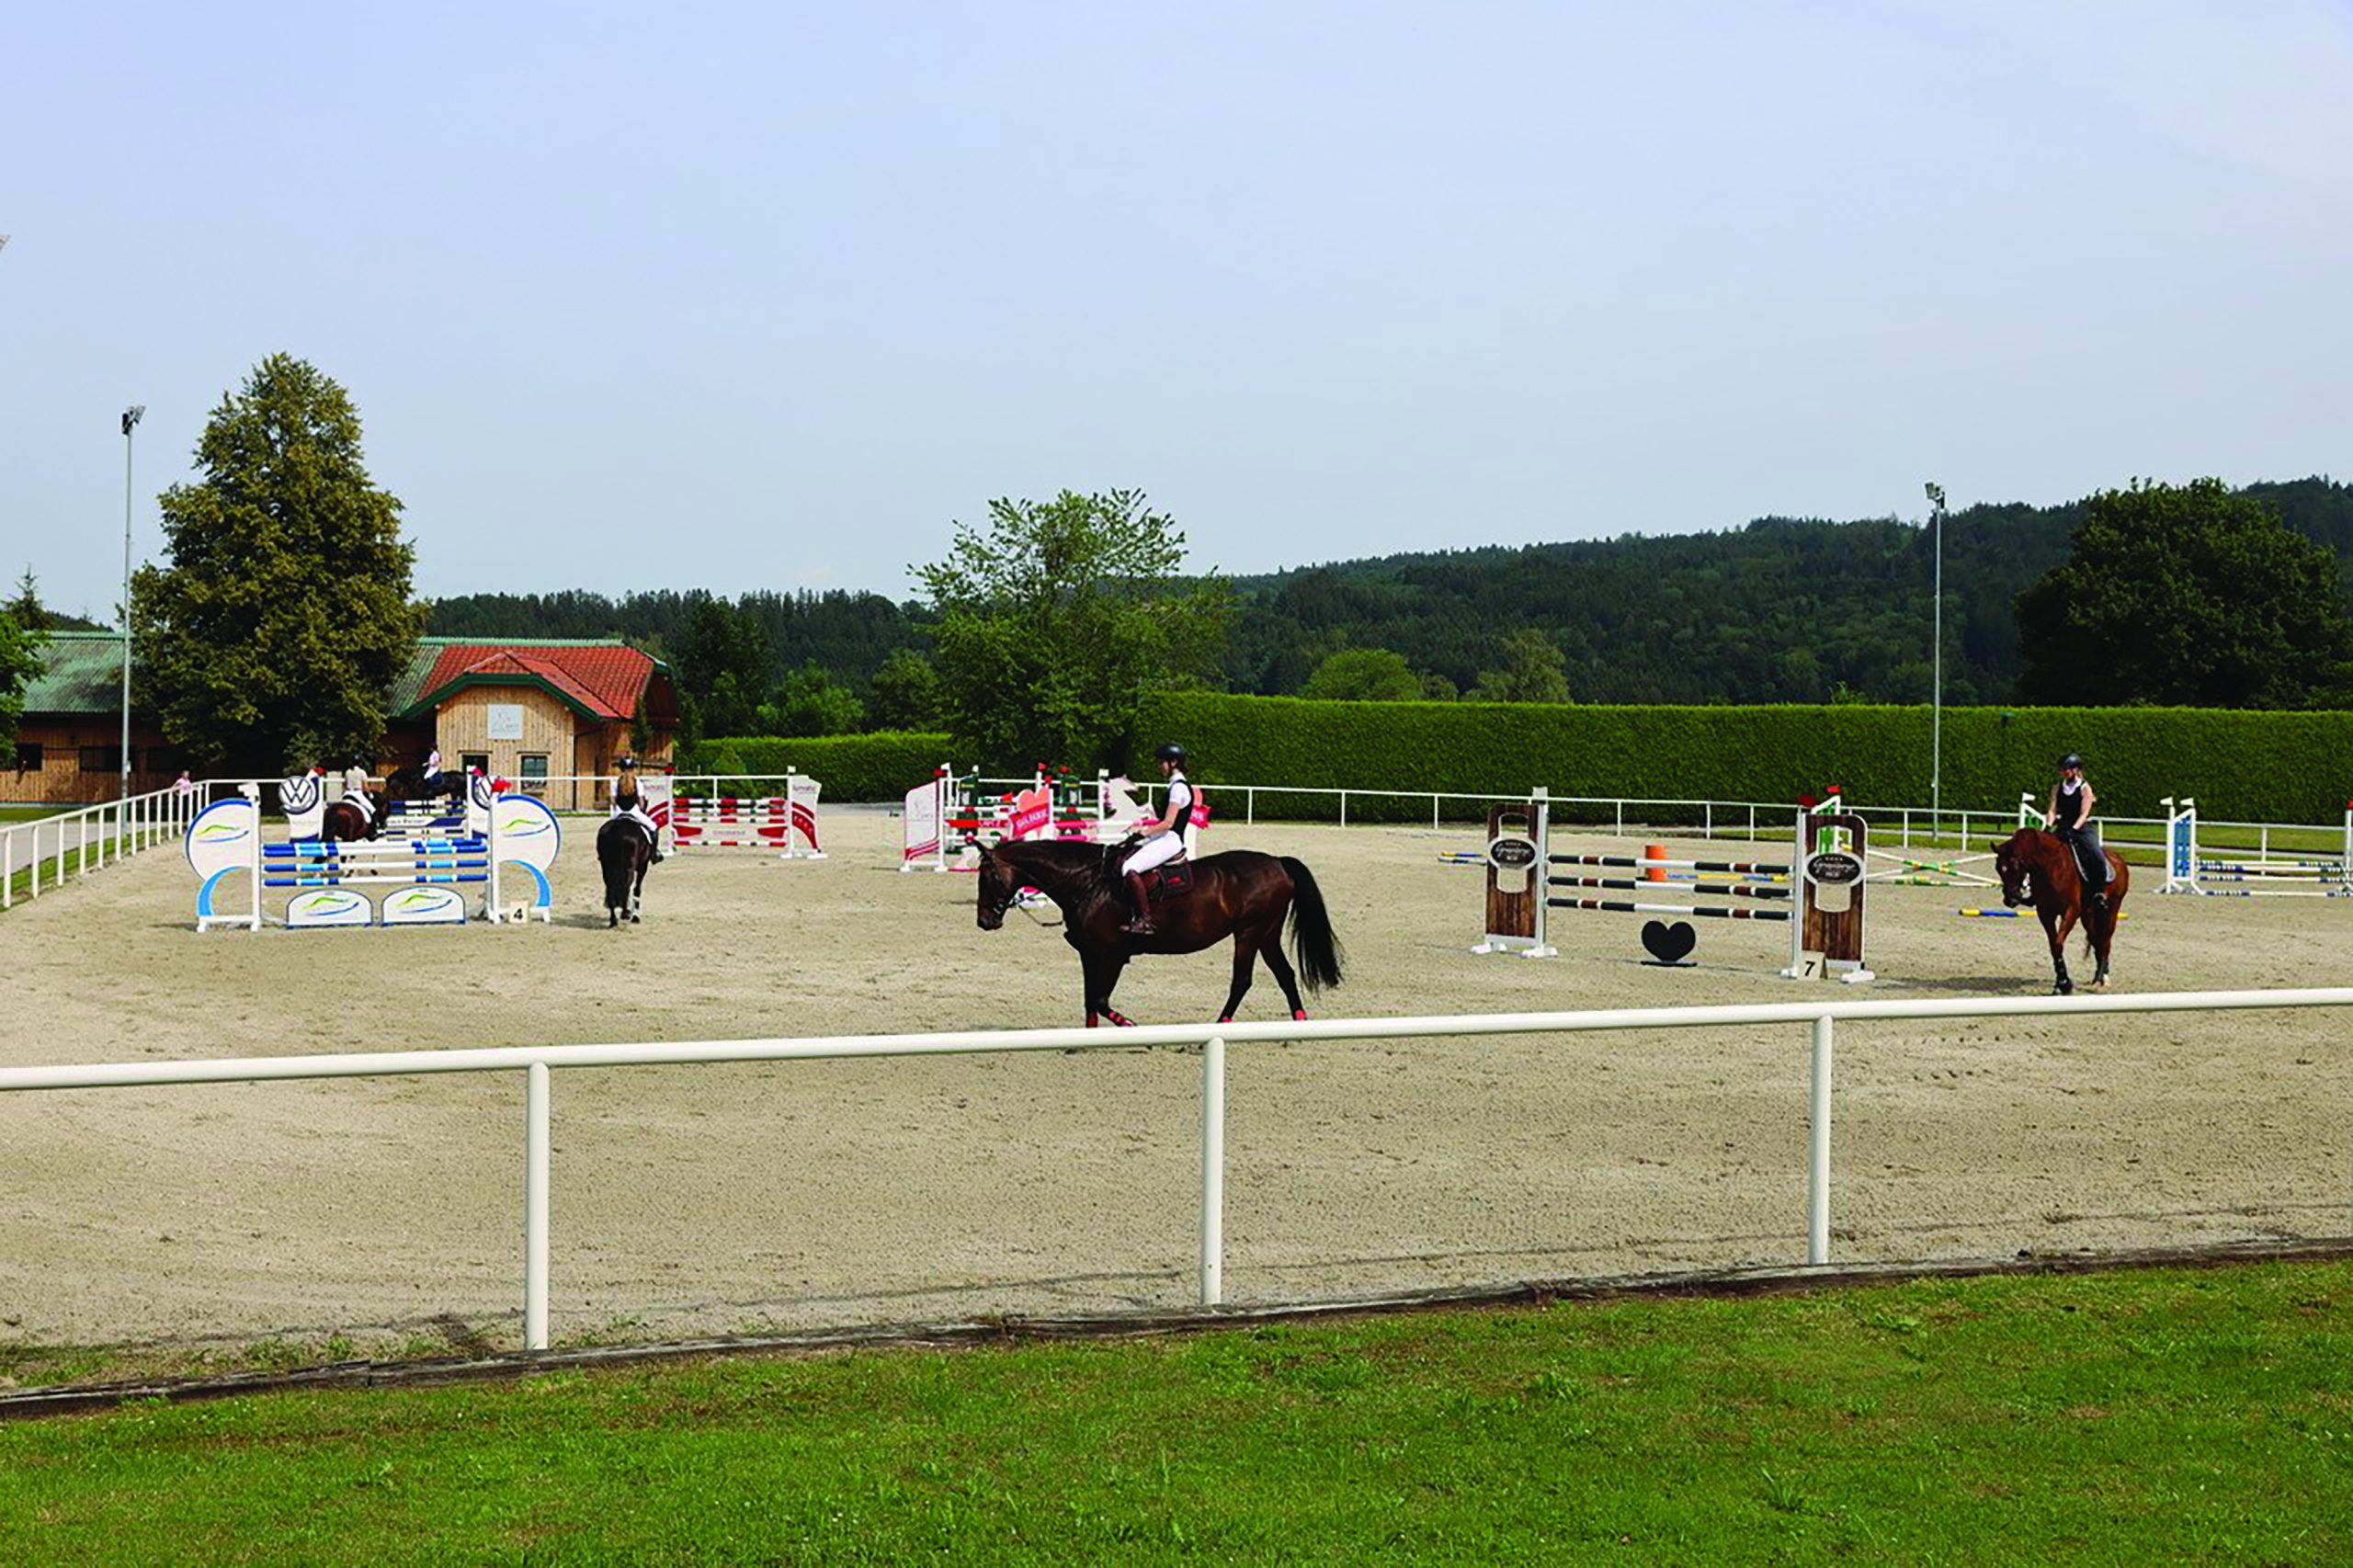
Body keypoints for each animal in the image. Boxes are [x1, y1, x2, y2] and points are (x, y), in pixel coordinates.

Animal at [973, 837, 1346, 1021]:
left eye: (988, 876)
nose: (985, 922)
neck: (1087, 882)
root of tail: (1277, 862)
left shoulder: (1111, 954)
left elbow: (1100, 999)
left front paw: (1130, 1026)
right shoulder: (1089, 954)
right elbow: (1090, 1002)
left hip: (1249, 934)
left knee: (1242, 981)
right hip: (1266, 935)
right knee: (1285, 975)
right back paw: (1298, 1024)